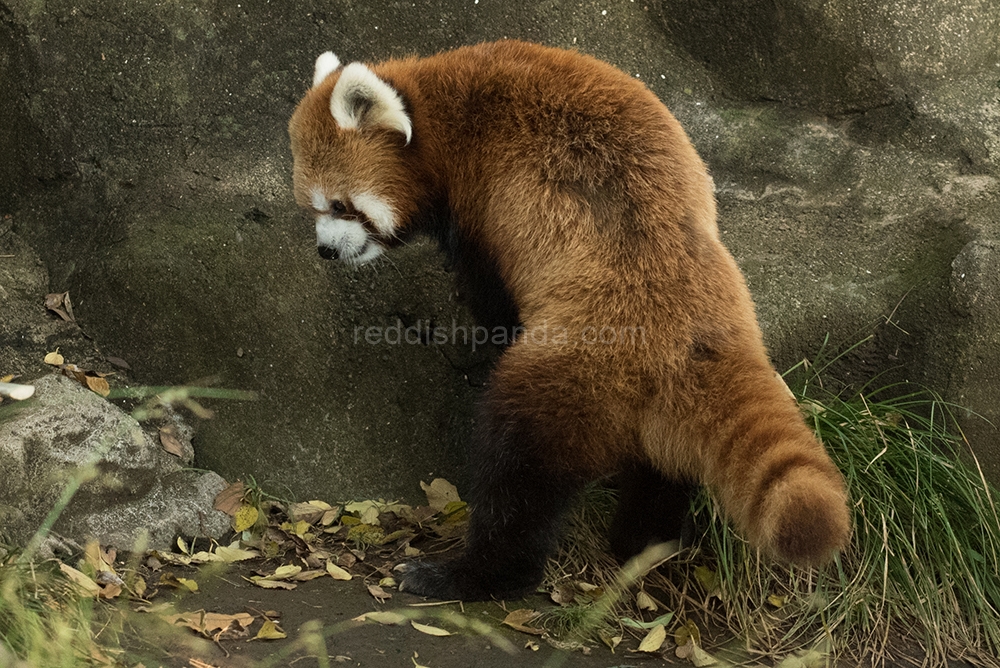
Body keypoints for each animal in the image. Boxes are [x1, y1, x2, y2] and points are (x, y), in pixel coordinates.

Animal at [290, 39, 852, 600]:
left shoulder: (482, 209)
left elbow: (494, 300)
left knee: (517, 472)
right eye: (312, 208)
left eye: (340, 205)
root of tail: (694, 335)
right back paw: (643, 542)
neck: (441, 107)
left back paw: (469, 574)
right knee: (662, 470)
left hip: (576, 370)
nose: (325, 251)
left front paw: (496, 329)